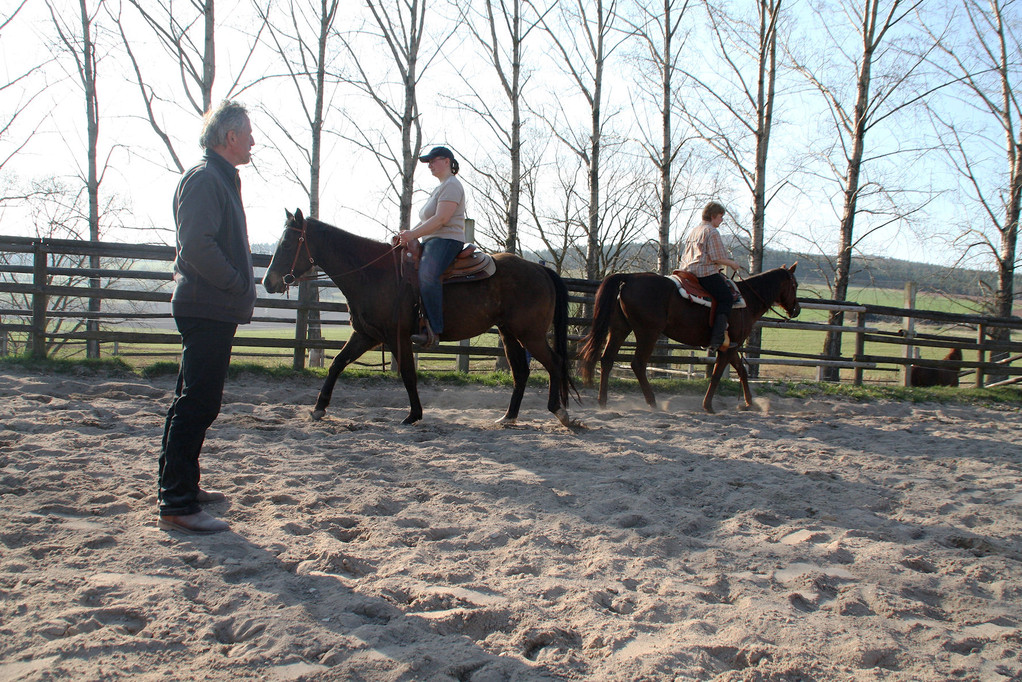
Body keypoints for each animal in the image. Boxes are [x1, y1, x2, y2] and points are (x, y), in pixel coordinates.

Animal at [259, 208, 576, 427]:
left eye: (287, 243)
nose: (268, 282)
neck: (373, 273)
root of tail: (539, 269)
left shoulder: (396, 336)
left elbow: (408, 374)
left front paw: (413, 415)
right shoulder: (367, 334)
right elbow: (337, 363)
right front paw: (318, 408)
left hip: (530, 334)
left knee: (555, 363)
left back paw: (559, 411)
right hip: (509, 333)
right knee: (521, 372)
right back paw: (508, 417)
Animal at [580, 265, 801, 413]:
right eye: (795, 284)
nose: (797, 310)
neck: (747, 300)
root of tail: (629, 278)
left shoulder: (731, 346)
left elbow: (742, 372)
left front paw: (749, 402)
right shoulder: (729, 348)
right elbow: (717, 374)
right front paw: (708, 406)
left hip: (620, 329)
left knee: (607, 360)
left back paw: (603, 402)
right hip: (648, 333)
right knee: (638, 364)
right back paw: (652, 402)